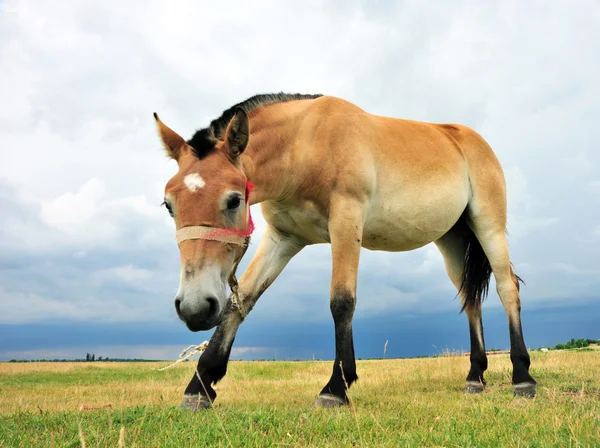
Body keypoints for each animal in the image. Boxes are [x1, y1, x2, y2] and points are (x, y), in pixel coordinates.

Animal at [152, 92, 536, 410]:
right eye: (169, 204)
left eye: (233, 200)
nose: (195, 308)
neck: (304, 144)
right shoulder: (283, 239)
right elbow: (241, 301)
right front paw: (200, 386)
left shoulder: (346, 223)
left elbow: (341, 301)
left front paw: (335, 388)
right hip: (451, 242)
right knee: (470, 299)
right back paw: (475, 378)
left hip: (488, 226)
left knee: (507, 289)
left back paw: (522, 378)